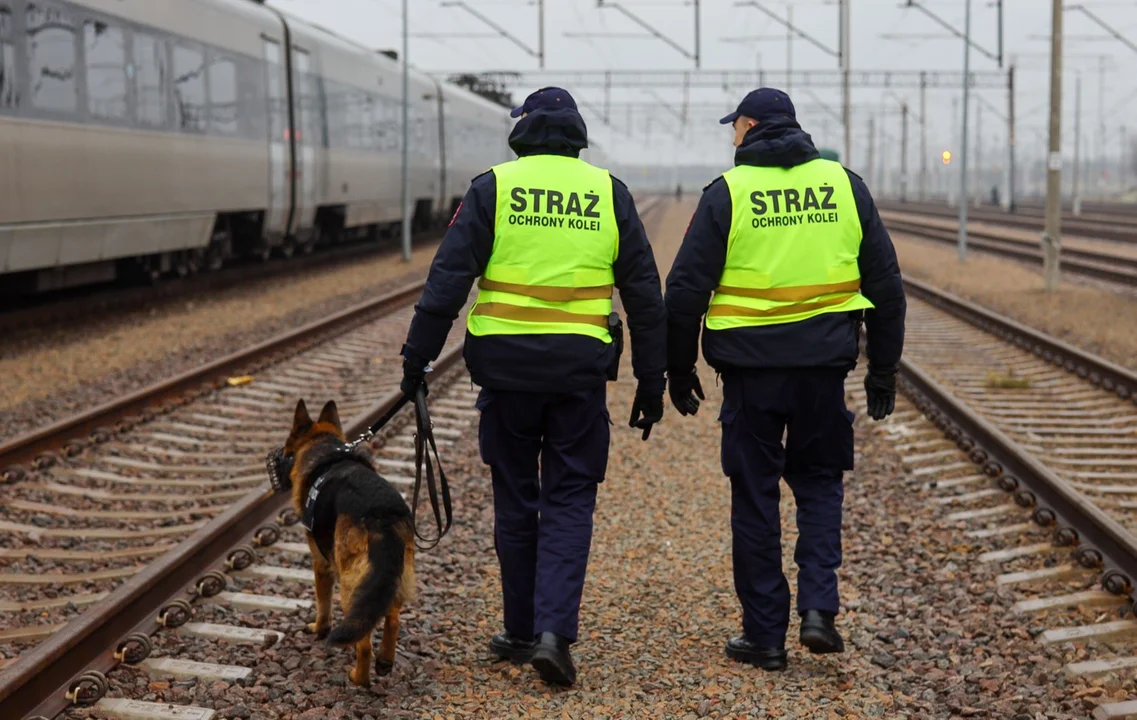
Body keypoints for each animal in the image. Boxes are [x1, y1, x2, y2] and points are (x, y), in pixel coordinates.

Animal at [283, 398, 416, 687]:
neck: (325, 448)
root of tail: (381, 514)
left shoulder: (321, 564)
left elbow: (322, 604)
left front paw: (319, 629)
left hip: (350, 585)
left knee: (363, 644)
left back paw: (358, 678)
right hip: (394, 579)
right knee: (392, 619)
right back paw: (385, 662)